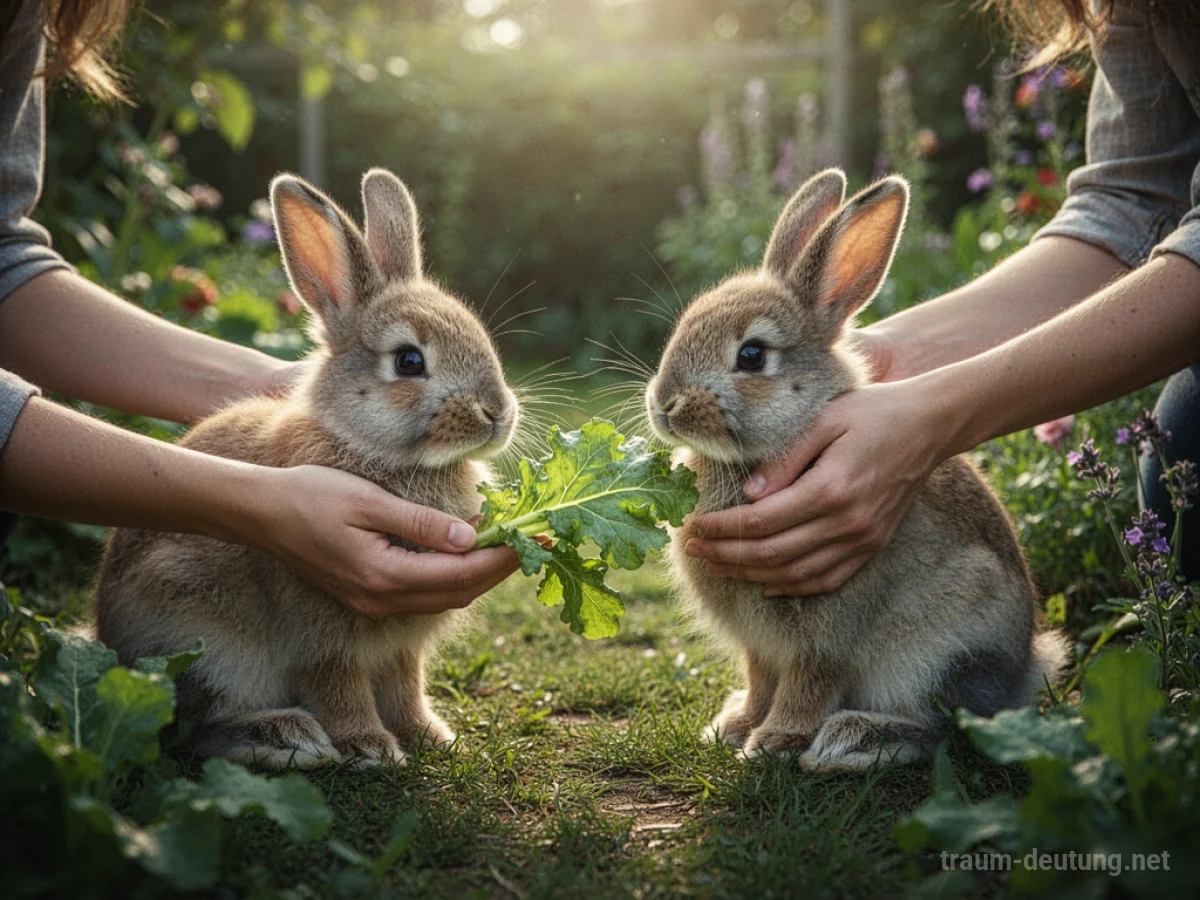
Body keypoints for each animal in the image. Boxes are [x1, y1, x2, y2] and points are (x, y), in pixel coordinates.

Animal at [94, 168, 519, 769]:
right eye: (409, 361)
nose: (498, 412)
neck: (366, 448)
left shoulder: (402, 646)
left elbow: (406, 682)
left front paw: (431, 735)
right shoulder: (319, 631)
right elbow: (337, 684)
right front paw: (370, 747)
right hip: (202, 642)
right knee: (189, 729)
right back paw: (287, 736)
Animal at [645, 169, 1070, 770]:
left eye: (751, 356)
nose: (663, 404)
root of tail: (1022, 674)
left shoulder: (829, 630)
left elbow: (811, 682)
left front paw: (774, 743)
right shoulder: (760, 644)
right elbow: (759, 675)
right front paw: (735, 727)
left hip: (939, 655)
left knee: (948, 727)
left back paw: (853, 738)